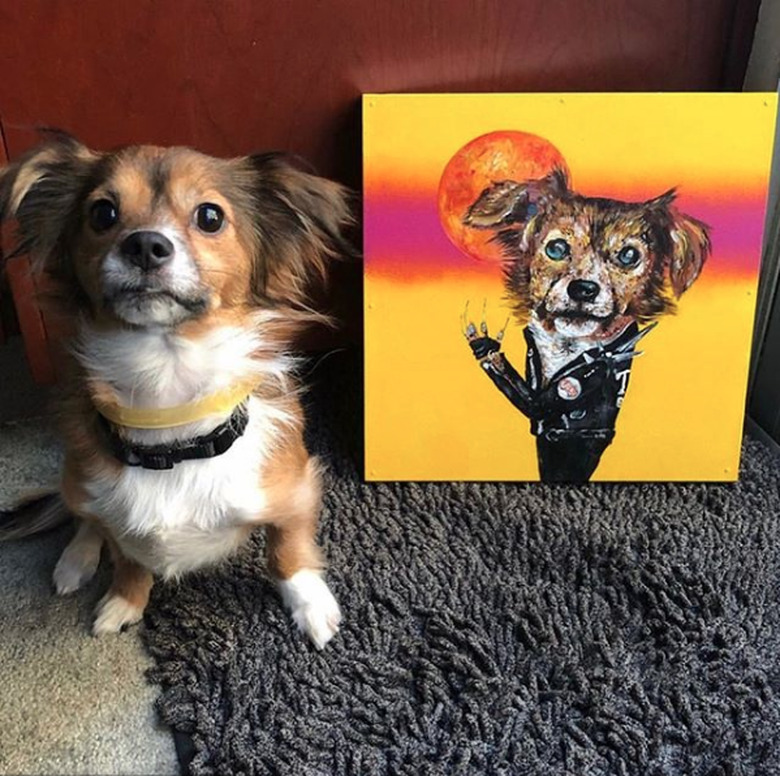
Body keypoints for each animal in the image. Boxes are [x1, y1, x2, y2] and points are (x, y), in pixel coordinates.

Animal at [0, 135, 350, 648]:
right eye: (102, 213)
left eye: (210, 217)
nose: (145, 244)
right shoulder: (119, 521)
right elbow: (127, 561)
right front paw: (124, 602)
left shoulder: (297, 489)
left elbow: (288, 549)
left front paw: (311, 605)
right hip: (76, 475)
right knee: (84, 517)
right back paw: (75, 561)